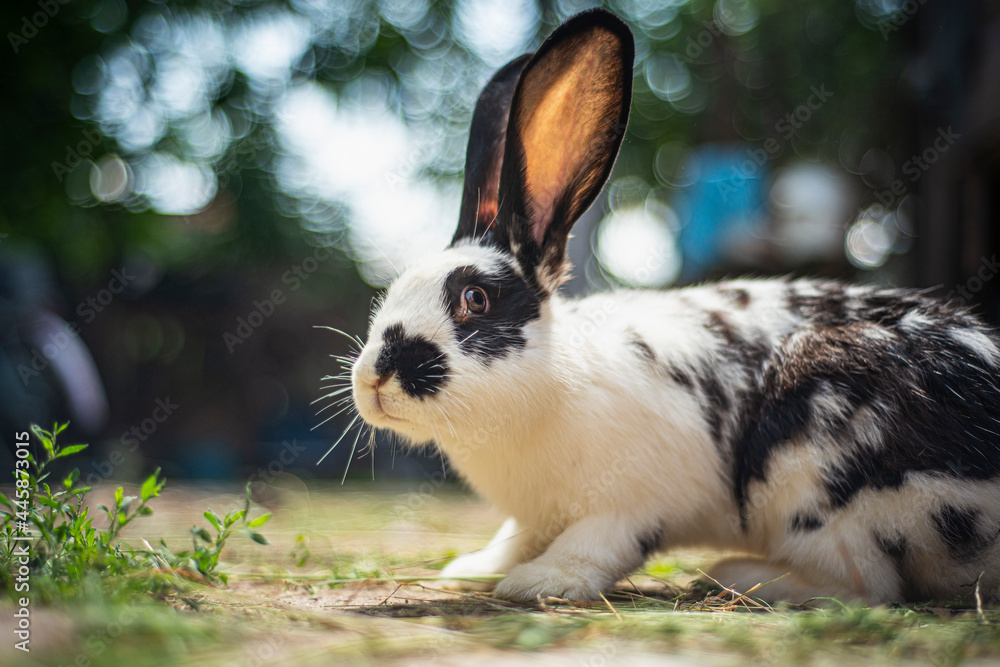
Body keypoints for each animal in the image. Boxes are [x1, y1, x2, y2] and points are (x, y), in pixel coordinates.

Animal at [347, 8, 1000, 605]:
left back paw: (732, 575)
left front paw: (540, 583)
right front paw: (473, 569)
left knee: (867, 584)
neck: (549, 380)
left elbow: (595, 544)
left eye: (474, 298)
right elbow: (516, 537)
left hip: (813, 470)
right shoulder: (535, 517)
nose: (375, 375)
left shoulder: (632, 501)